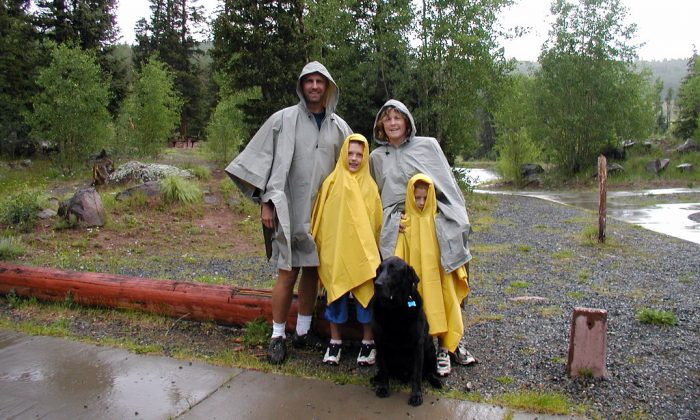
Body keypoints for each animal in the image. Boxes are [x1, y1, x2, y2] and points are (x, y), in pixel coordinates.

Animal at [370, 254, 440, 406]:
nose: (376, 284)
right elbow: (384, 369)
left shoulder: (418, 344)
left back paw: (436, 381)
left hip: (430, 351)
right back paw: (376, 379)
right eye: (379, 270)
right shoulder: (379, 343)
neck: (395, 309)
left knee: (428, 372)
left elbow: (417, 374)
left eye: (393, 270)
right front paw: (383, 387)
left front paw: (416, 395)